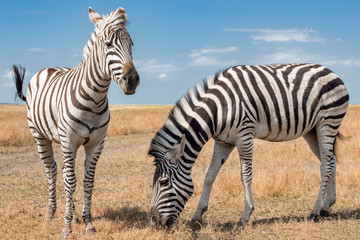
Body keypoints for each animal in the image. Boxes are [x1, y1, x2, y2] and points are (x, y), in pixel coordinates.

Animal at [13, 6, 139, 237]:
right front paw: (66, 227)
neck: (94, 99)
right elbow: (71, 182)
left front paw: (87, 222)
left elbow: (88, 182)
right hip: (40, 136)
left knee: (63, 172)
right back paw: (51, 212)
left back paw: (72, 214)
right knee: (52, 170)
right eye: (108, 44)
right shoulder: (69, 141)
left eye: (131, 45)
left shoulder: (96, 144)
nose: (132, 80)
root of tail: (48, 68)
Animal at [149, 62, 348, 228]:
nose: (154, 222)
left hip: (328, 122)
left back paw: (315, 211)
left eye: (163, 182)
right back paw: (327, 206)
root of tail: (331, 72)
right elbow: (209, 175)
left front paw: (246, 215)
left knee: (325, 166)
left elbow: (245, 176)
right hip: (312, 130)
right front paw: (198, 214)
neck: (219, 110)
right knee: (331, 161)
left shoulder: (244, 136)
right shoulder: (223, 141)